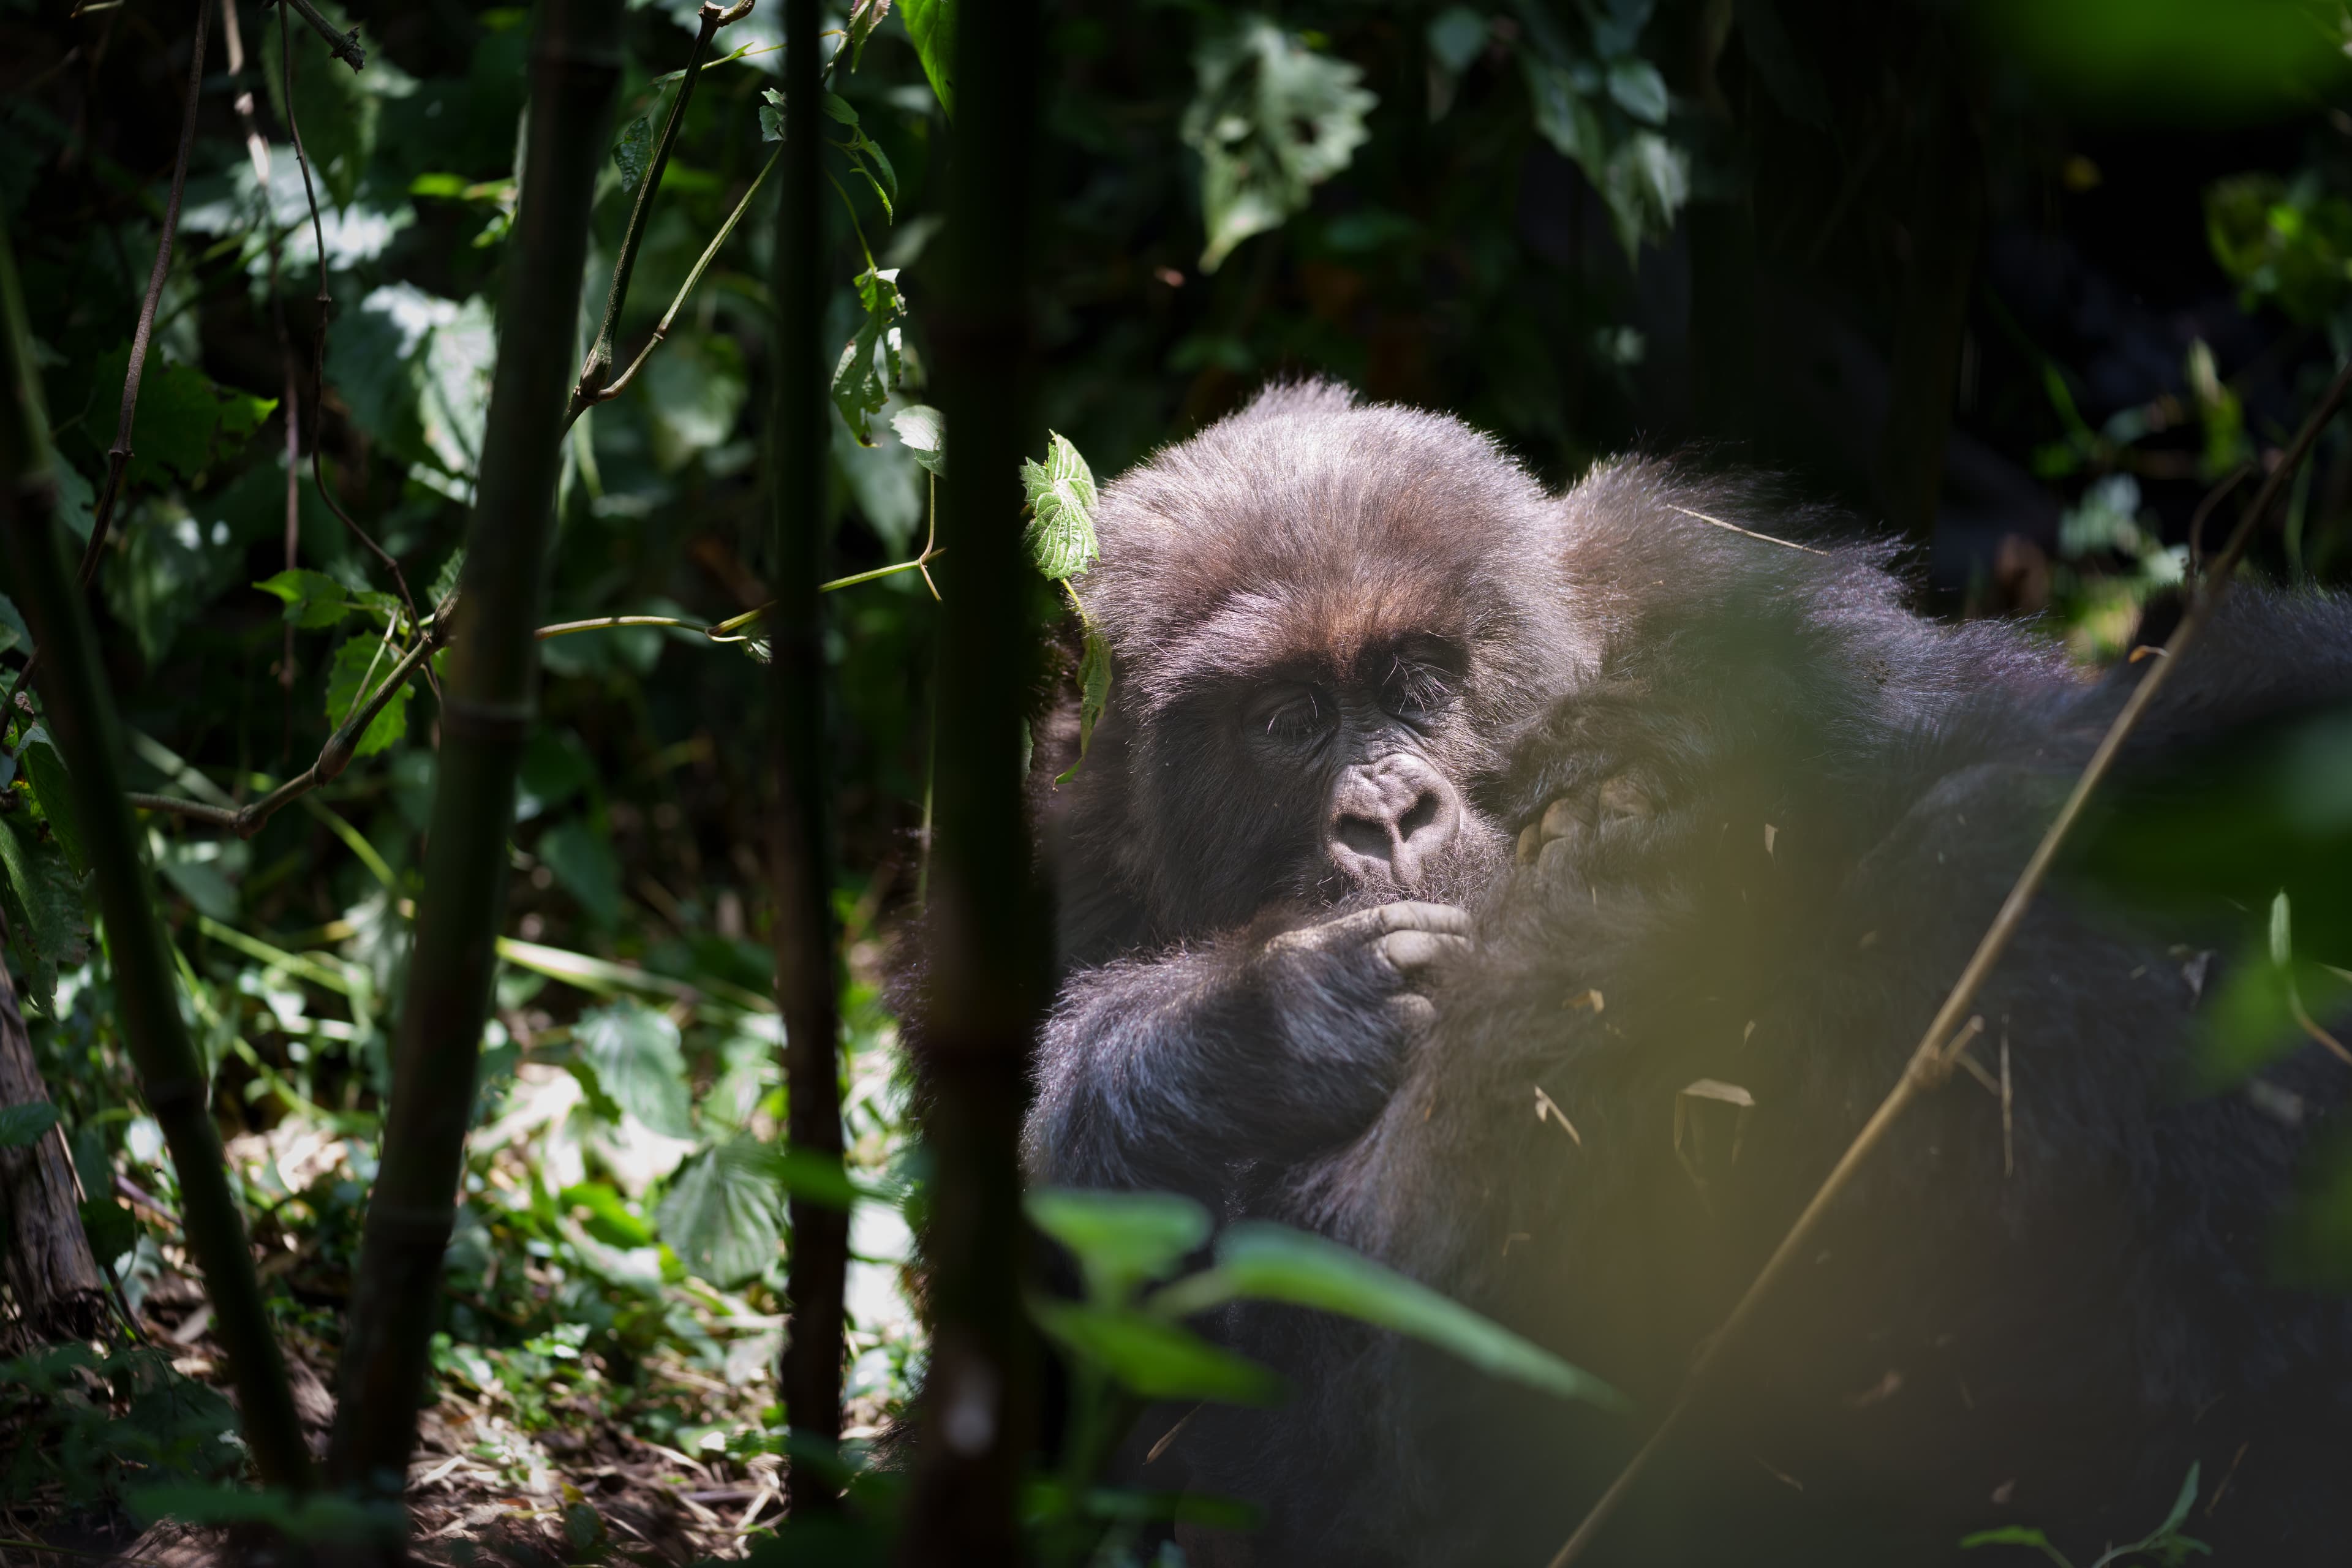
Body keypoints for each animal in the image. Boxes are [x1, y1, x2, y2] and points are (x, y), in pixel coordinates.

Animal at [1022, 380, 2352, 1564]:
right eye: (1290, 720)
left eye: (1418, 683)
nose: (1389, 817)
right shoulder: (1064, 848)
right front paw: (1288, 1017)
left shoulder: (1726, 581)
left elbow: (2019, 733)